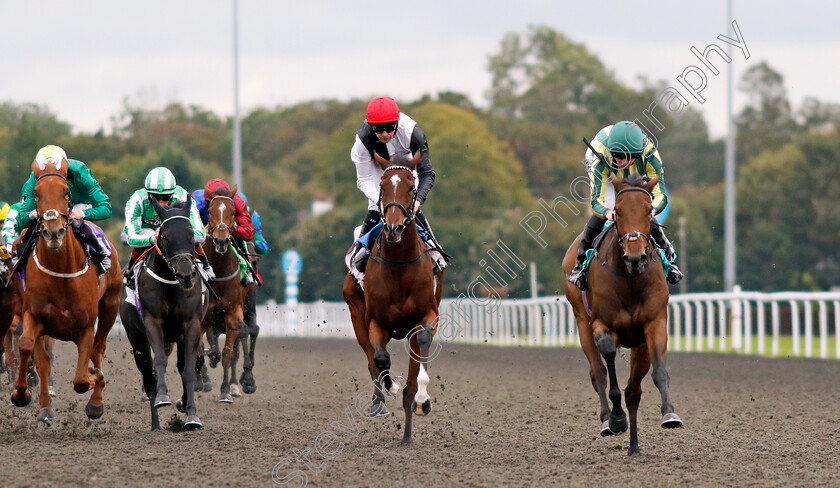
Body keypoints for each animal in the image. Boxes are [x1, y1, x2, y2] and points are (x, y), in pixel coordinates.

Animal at [11, 158, 121, 422]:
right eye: (36, 194)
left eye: (67, 193)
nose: (53, 231)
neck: (61, 273)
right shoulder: (33, 315)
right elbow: (28, 347)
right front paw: (23, 395)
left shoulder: (86, 325)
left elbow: (81, 378)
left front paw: (93, 379)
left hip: (111, 305)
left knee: (98, 349)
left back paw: (96, 400)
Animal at [119, 194, 209, 430]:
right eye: (165, 236)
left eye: (190, 233)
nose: (186, 274)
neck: (170, 283)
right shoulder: (153, 322)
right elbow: (159, 360)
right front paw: (163, 398)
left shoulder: (192, 325)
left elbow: (188, 370)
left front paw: (191, 415)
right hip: (137, 339)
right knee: (148, 376)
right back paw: (156, 425)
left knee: (180, 365)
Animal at [342, 152, 446, 446]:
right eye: (382, 186)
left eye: (412, 187)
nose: (393, 228)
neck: (399, 264)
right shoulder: (376, 322)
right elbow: (380, 360)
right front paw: (391, 386)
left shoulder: (427, 316)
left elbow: (422, 346)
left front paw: (422, 399)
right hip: (357, 315)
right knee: (371, 361)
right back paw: (380, 401)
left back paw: (408, 432)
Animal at [564, 173, 684, 456]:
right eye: (617, 212)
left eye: (649, 211)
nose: (635, 256)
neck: (630, 279)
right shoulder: (601, 324)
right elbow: (608, 357)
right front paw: (617, 419)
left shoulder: (654, 323)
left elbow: (659, 372)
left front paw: (670, 414)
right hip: (581, 321)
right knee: (598, 373)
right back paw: (608, 420)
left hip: (639, 345)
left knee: (634, 391)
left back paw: (634, 448)